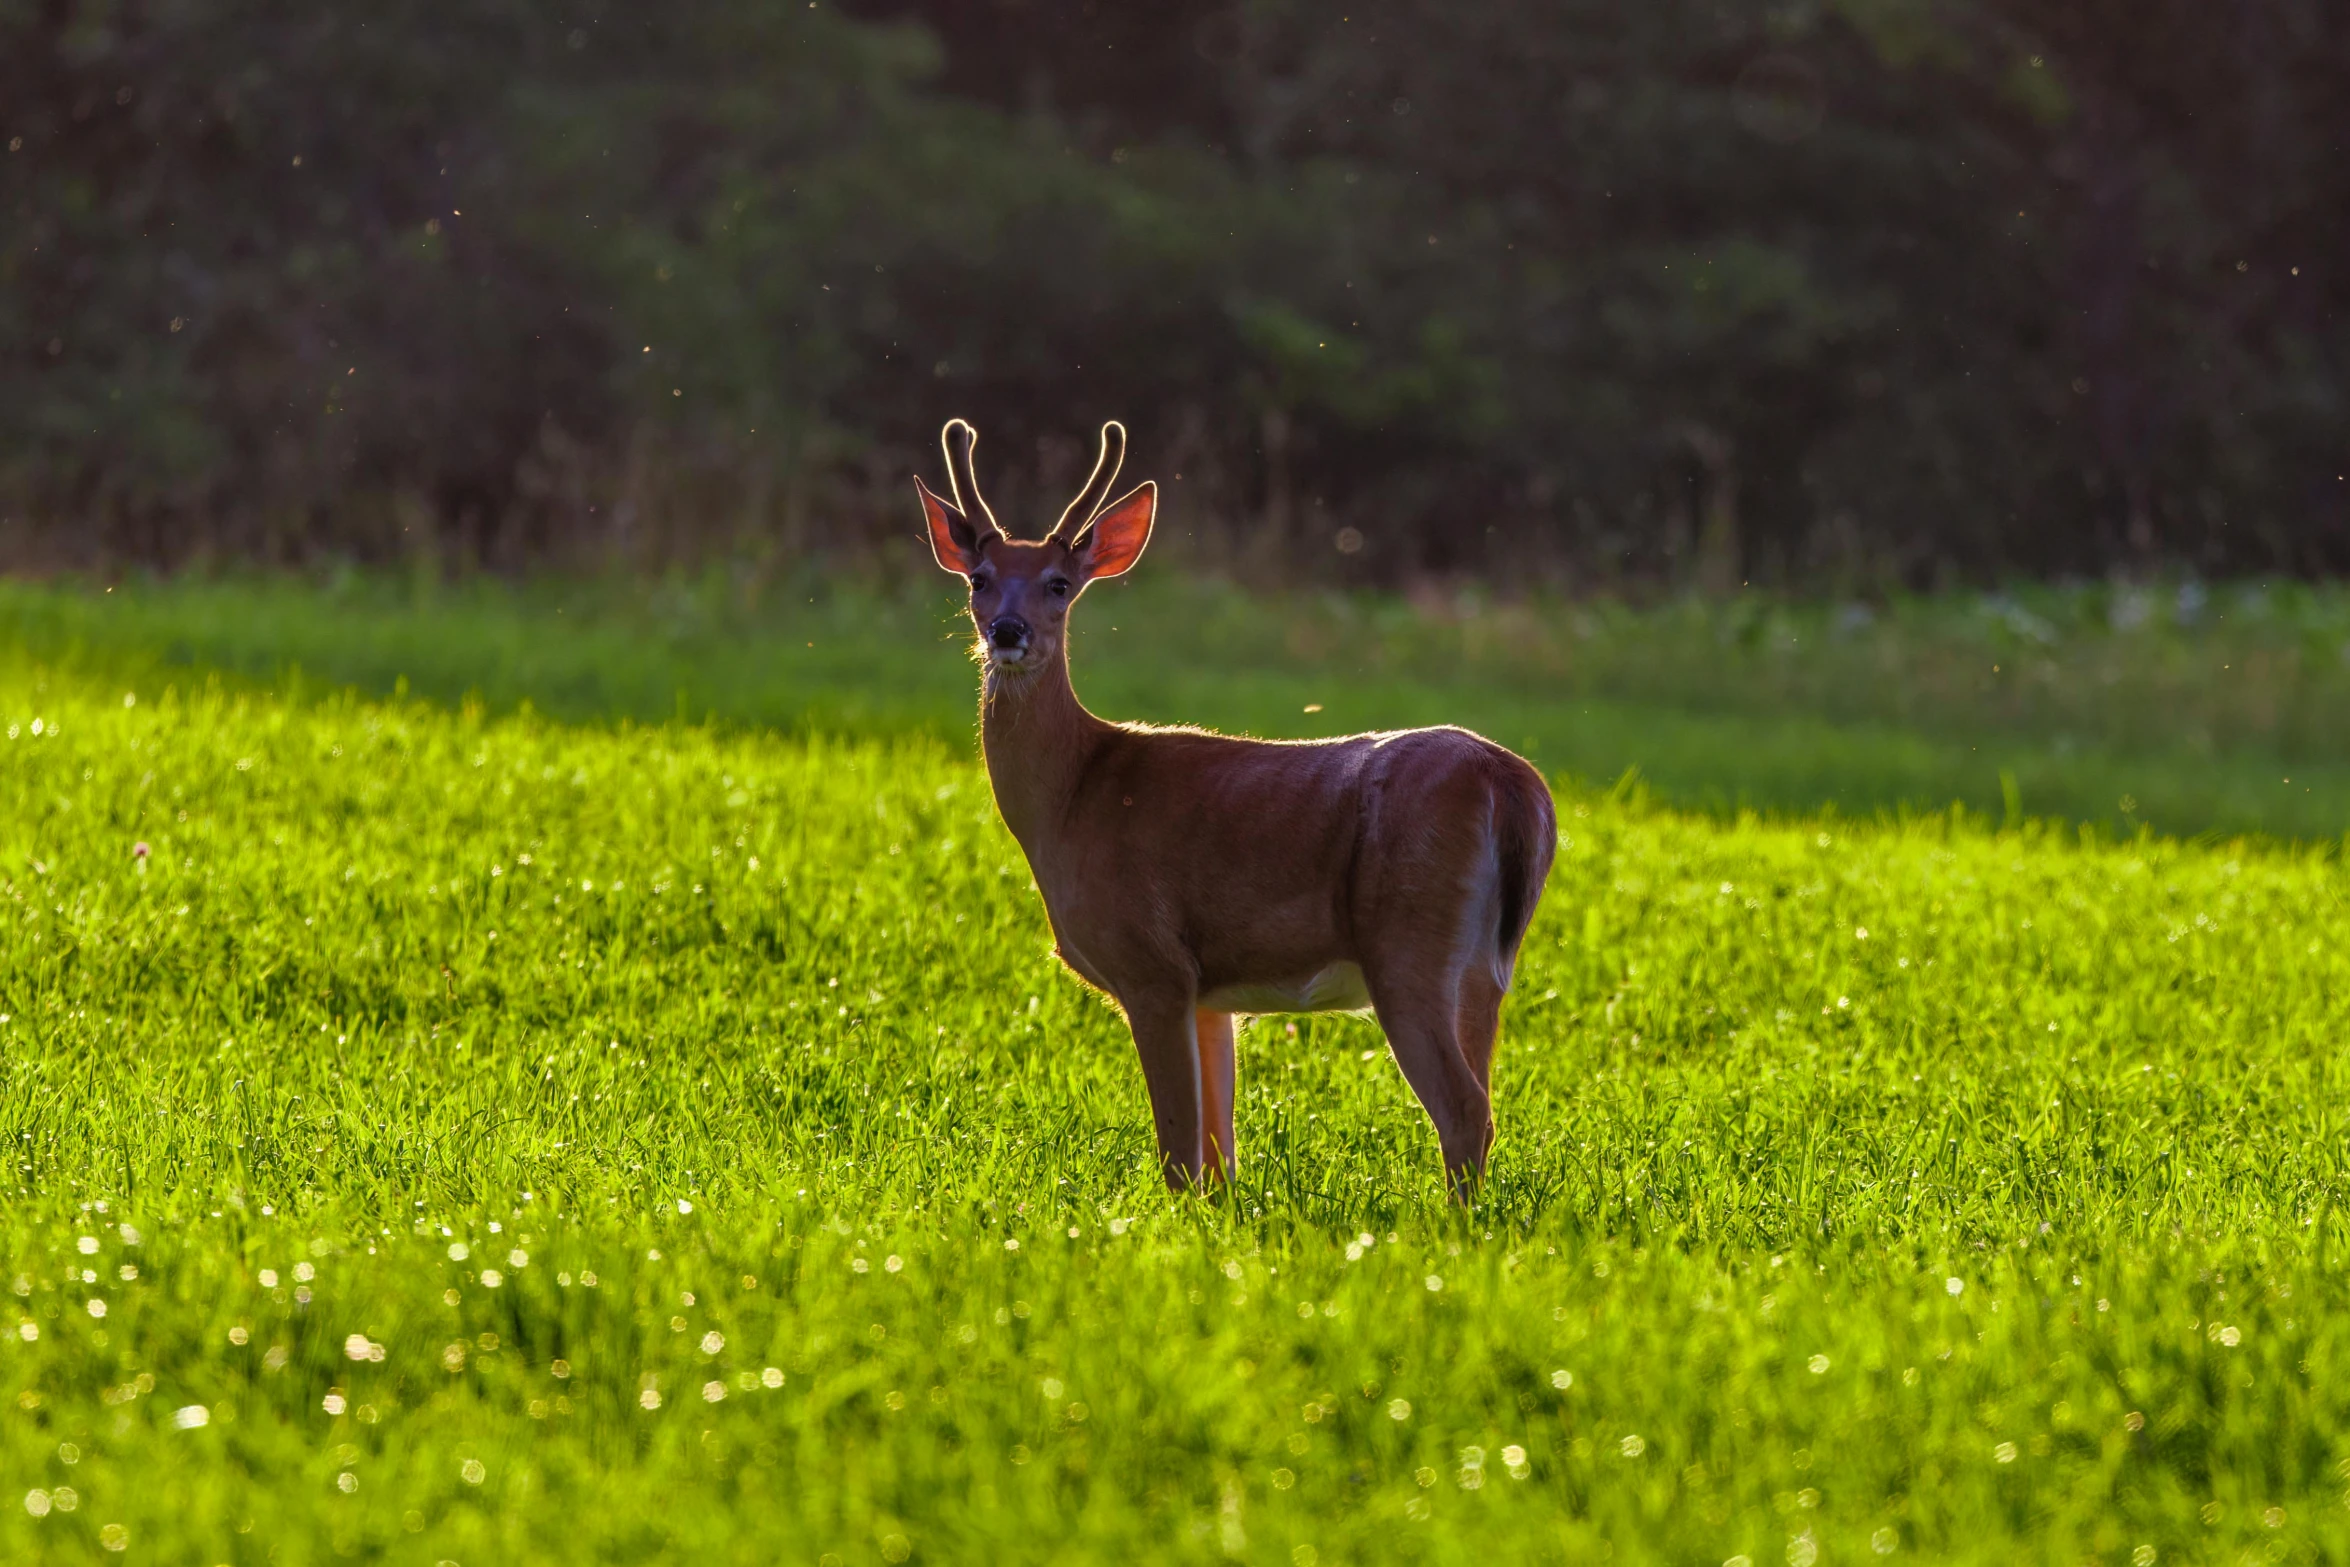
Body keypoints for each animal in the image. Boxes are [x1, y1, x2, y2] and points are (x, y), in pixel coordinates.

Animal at [916, 415, 1560, 1202]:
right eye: (978, 579)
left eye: (1059, 584)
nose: (1008, 631)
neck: (1071, 798)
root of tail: (1509, 782)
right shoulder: (1211, 995)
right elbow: (1219, 1156)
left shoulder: (1154, 965)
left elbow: (1178, 1149)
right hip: (1482, 968)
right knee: (1485, 1093)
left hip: (1409, 941)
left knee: (1466, 1108)